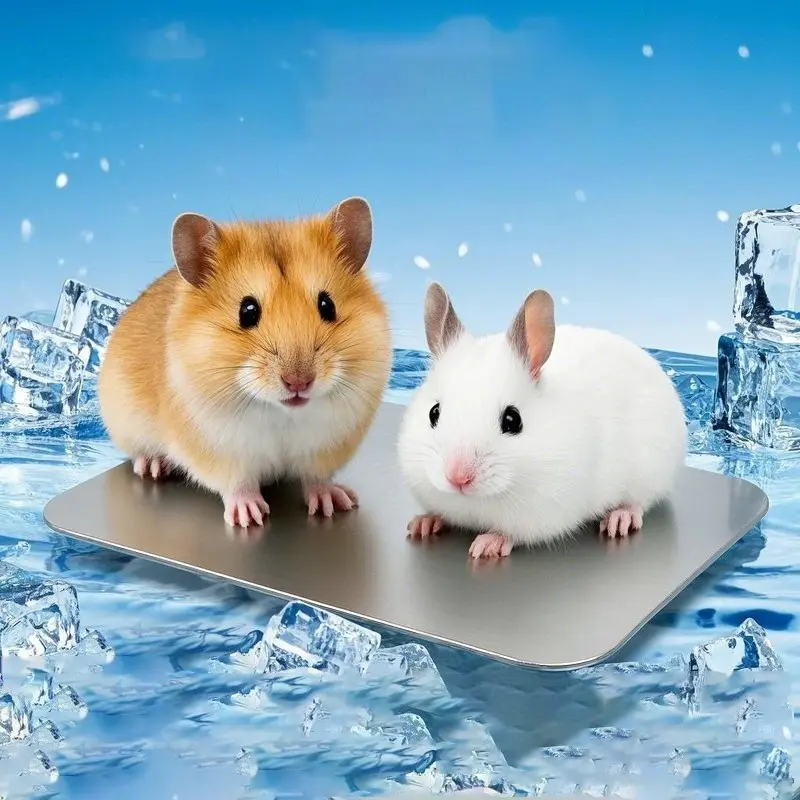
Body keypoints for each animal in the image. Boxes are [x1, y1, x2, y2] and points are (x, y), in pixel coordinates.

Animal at [98, 197, 392, 528]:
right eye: (247, 311)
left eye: (327, 305)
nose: (299, 382)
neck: (281, 413)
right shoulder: (221, 455)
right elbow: (238, 485)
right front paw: (249, 518)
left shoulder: (323, 449)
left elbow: (315, 478)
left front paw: (334, 503)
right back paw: (153, 465)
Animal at [397, 282, 687, 559]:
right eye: (434, 413)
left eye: (513, 420)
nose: (457, 479)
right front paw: (421, 524)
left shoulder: (544, 514)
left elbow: (509, 534)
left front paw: (485, 546)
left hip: (651, 473)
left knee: (639, 502)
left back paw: (619, 520)